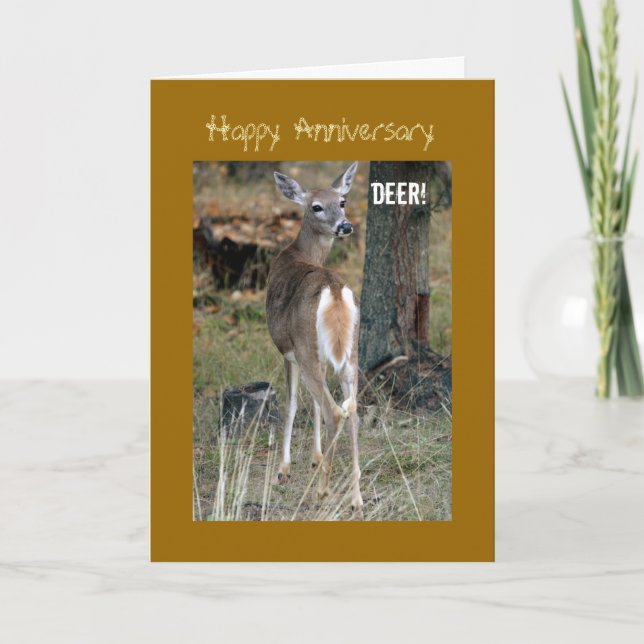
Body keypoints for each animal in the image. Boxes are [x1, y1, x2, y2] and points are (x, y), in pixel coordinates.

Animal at [267, 162, 363, 519]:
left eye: (343, 201)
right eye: (317, 206)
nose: (345, 226)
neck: (301, 254)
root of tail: (333, 290)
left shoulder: (288, 350)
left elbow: (293, 403)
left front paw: (284, 469)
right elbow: (312, 405)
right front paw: (316, 458)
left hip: (307, 347)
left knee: (335, 411)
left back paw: (322, 492)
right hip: (350, 353)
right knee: (353, 410)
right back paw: (355, 498)